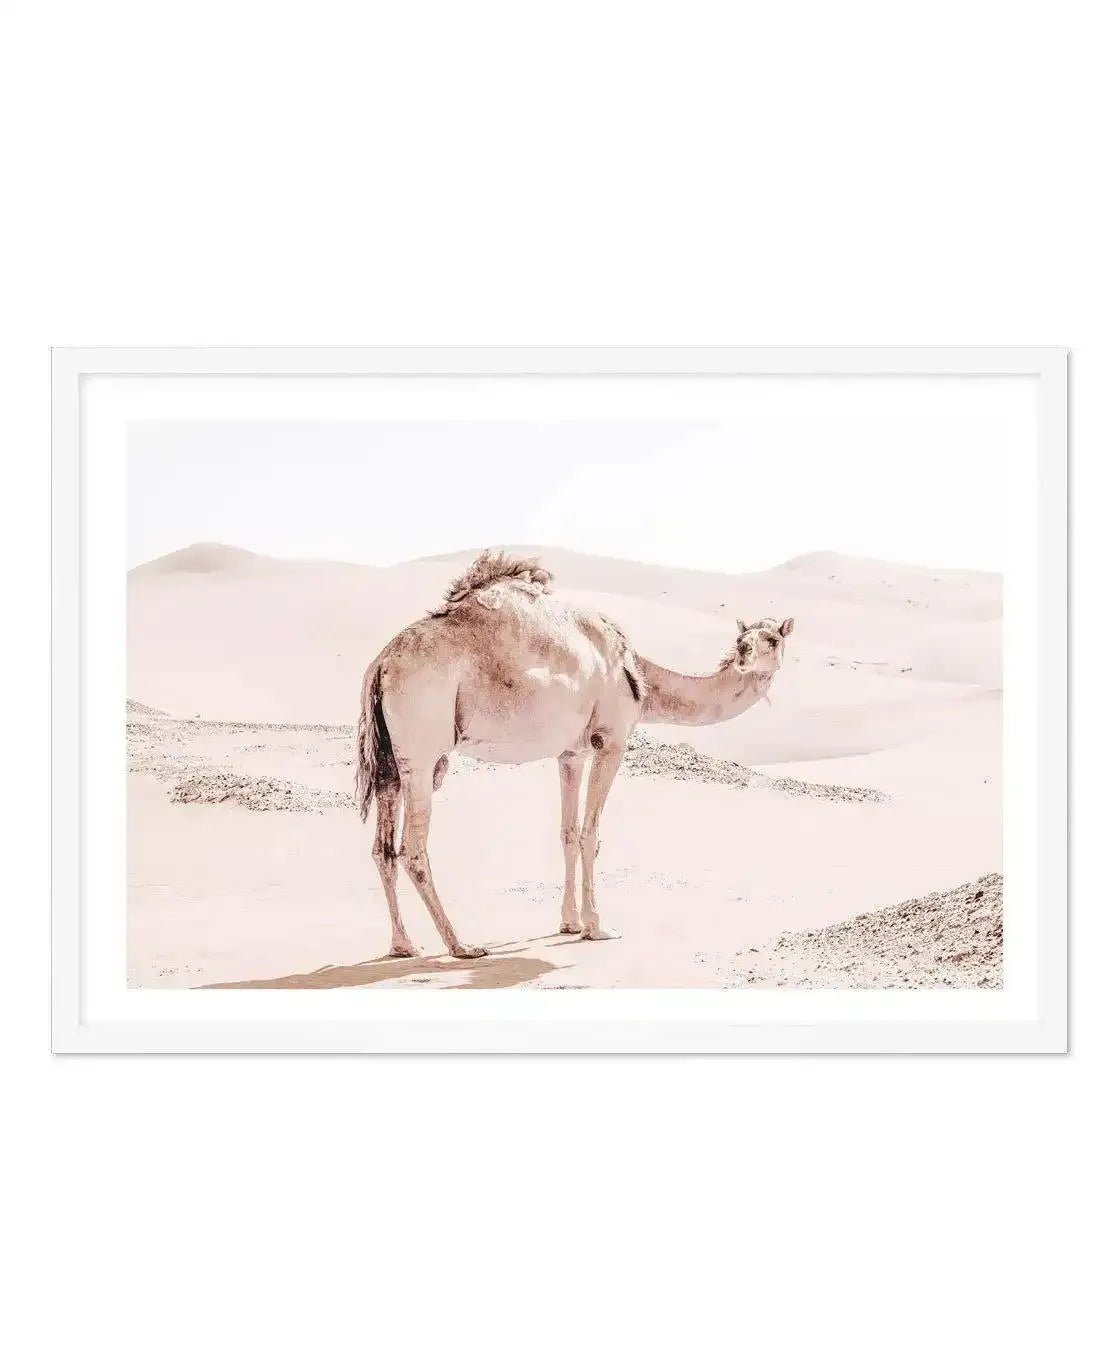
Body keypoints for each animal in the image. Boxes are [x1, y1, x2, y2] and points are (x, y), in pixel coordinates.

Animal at [356, 550, 793, 959]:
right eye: (747, 638)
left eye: (772, 638)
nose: (743, 651)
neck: (639, 674)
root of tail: (380, 664)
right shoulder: (610, 741)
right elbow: (590, 833)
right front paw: (597, 926)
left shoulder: (572, 752)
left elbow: (567, 832)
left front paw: (569, 923)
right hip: (423, 750)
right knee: (412, 849)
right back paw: (461, 945)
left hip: (391, 759)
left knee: (382, 848)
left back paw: (404, 945)